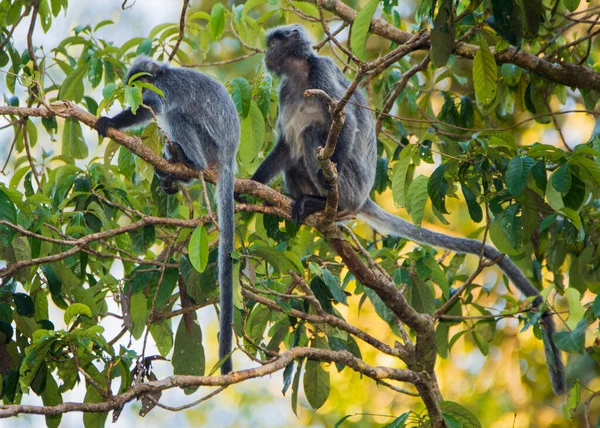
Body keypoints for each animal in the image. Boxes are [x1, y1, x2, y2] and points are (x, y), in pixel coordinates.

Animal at [96, 56, 239, 374]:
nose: (135, 88)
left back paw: (189, 164)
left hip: (208, 142)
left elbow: (147, 108)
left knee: (176, 117)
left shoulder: (162, 89)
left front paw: (110, 121)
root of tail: (228, 156)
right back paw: (173, 171)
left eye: (140, 81)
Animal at [250, 25, 568, 394]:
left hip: (351, 183)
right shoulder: (286, 92)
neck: (300, 76)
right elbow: (286, 147)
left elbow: (348, 122)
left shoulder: (323, 74)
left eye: (274, 44)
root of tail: (362, 197)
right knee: (297, 150)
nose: (265, 54)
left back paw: (330, 203)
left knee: (314, 133)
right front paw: (246, 185)